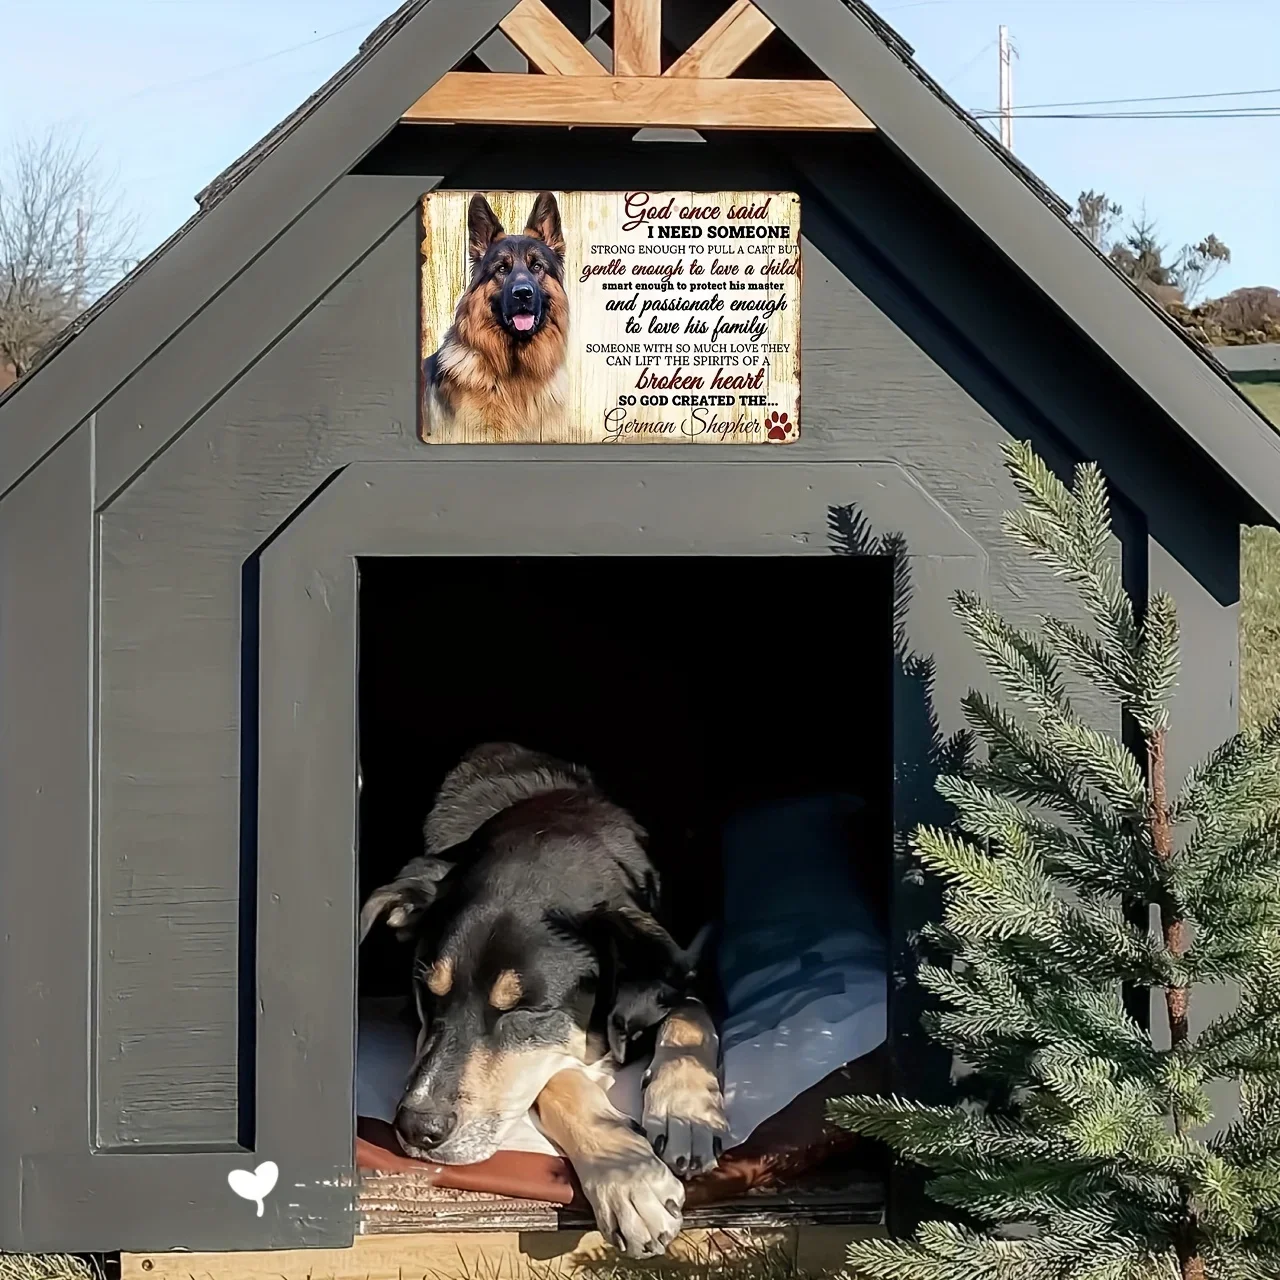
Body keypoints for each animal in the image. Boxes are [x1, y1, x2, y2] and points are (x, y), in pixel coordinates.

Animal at [360, 747, 732, 1254]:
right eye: (428, 995)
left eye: (525, 1010)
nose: (417, 1129)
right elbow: (558, 1076)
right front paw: (628, 1179)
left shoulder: (695, 962)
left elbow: (690, 1012)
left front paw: (687, 1109)